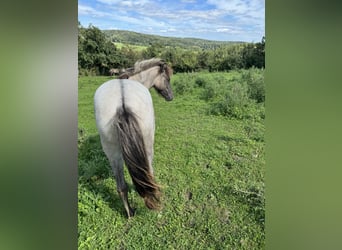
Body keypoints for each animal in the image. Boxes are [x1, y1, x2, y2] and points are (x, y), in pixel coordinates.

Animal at [93, 58, 174, 217]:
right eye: (167, 78)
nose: (170, 96)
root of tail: (122, 101)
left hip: (112, 153)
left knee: (121, 187)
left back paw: (130, 213)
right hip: (147, 145)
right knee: (149, 173)